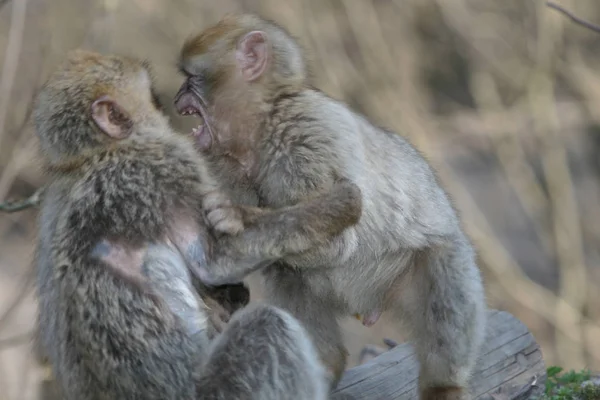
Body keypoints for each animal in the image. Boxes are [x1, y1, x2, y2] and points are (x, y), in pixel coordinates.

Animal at [32, 49, 358, 400]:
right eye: (152, 97)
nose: (167, 106)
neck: (96, 156)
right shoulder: (163, 167)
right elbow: (215, 261)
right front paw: (338, 206)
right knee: (266, 326)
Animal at [173, 13, 488, 400]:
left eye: (192, 79)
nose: (178, 96)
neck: (265, 119)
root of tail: (365, 304)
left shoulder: (306, 136)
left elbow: (339, 243)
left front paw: (238, 218)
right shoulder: (226, 168)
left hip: (428, 262)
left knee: (446, 289)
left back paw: (443, 385)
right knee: (288, 274)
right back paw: (322, 365)